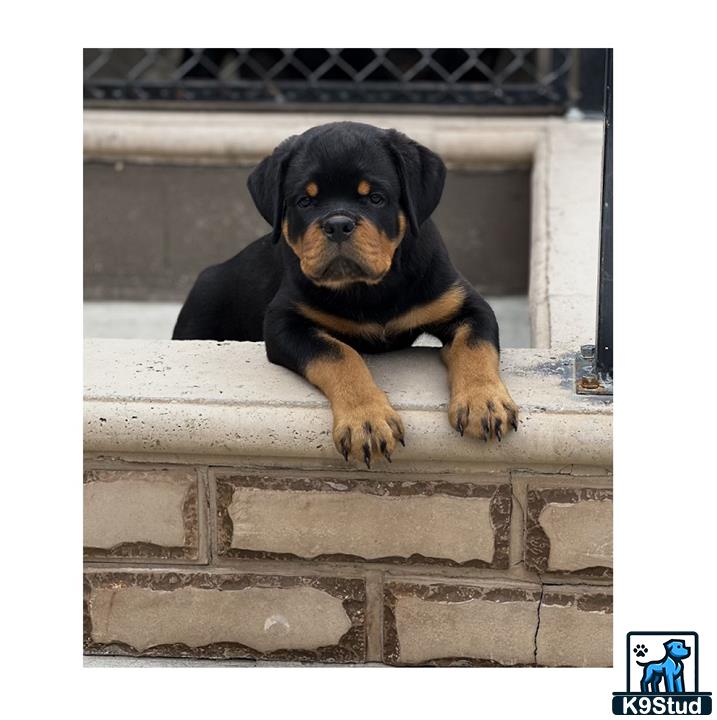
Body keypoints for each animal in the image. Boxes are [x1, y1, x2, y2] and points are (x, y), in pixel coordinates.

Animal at [173, 119, 520, 466]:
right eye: (305, 201)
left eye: (376, 198)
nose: (338, 224)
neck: (368, 290)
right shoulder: (285, 322)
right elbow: (339, 354)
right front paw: (366, 421)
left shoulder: (464, 303)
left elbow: (475, 345)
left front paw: (483, 401)